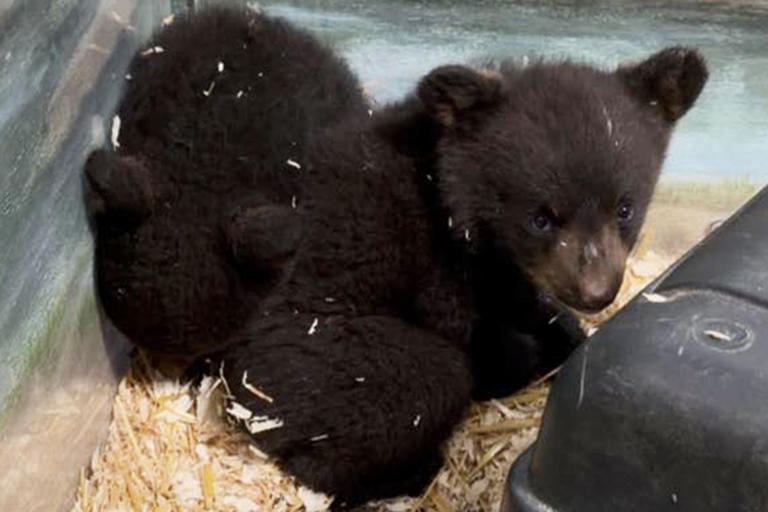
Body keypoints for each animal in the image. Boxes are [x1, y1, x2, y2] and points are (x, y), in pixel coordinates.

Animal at [208, 47, 708, 507]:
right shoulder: (440, 265)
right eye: (540, 218)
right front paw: (530, 355)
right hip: (325, 356)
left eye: (624, 209)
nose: (596, 293)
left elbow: (523, 301)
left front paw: (565, 334)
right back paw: (407, 473)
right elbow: (479, 332)